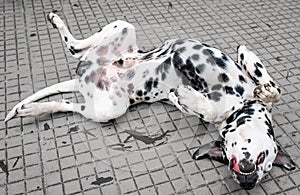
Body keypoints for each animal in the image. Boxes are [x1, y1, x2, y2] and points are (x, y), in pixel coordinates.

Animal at [4, 12, 296, 190]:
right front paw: (255, 73)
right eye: (268, 162)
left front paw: (186, 97)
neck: (240, 104)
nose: (247, 181)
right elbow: (270, 85)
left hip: (108, 107)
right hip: (122, 28)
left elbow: (205, 109)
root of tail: (85, 75)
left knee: (68, 101)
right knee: (76, 49)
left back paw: (31, 109)